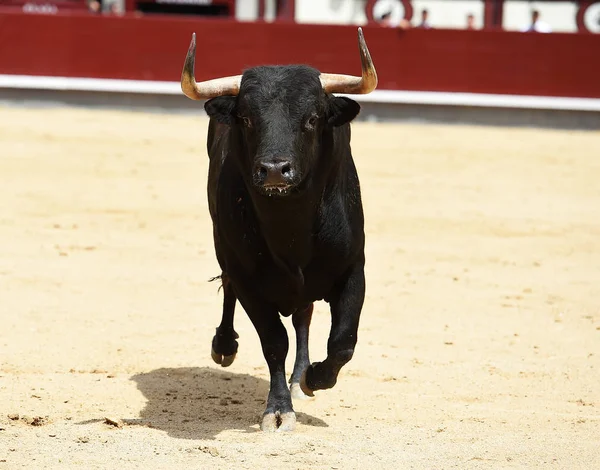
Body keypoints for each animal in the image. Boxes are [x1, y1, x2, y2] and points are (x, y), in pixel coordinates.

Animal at [180, 28, 378, 434]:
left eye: (313, 118)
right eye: (245, 118)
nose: (274, 170)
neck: (291, 227)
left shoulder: (354, 269)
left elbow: (342, 342)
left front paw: (312, 378)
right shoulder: (247, 277)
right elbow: (274, 342)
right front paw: (277, 410)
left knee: (304, 317)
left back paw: (300, 377)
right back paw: (224, 345)